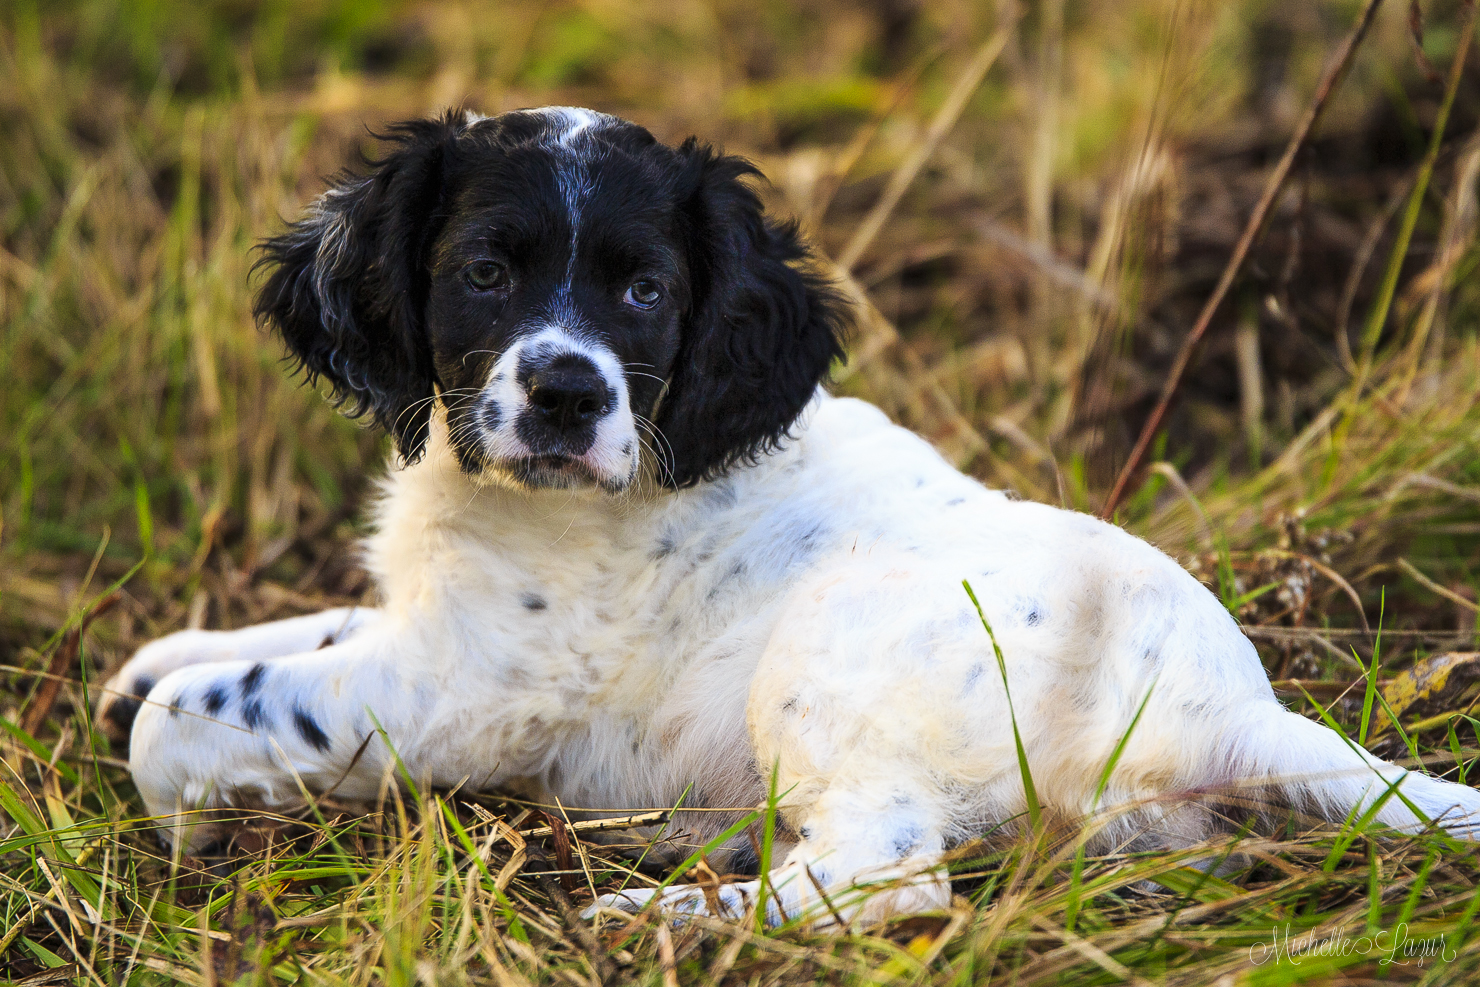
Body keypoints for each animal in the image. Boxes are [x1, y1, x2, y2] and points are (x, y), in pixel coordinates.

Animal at [101, 106, 1480, 929]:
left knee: (892, 873)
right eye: (482, 271)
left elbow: (206, 716)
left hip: (832, 644)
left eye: (647, 291)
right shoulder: (424, 622)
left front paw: (181, 814)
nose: (565, 396)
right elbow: (276, 640)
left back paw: (675, 920)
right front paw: (153, 662)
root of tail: (1235, 710)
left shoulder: (471, 686)